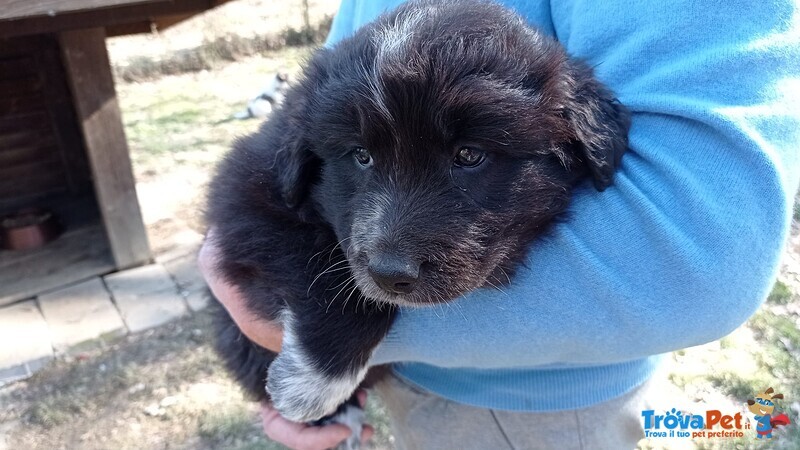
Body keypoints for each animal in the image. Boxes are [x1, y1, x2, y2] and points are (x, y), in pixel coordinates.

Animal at [203, 0, 628, 436]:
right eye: (360, 155)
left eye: (470, 155)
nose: (389, 274)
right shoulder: (248, 193)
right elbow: (320, 270)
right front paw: (312, 383)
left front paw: (310, 382)